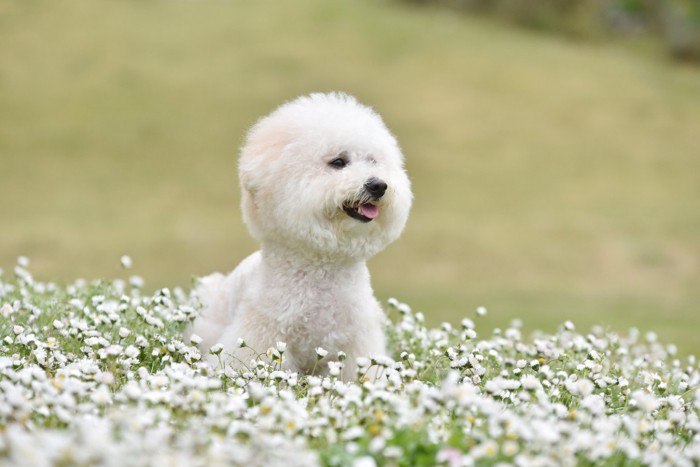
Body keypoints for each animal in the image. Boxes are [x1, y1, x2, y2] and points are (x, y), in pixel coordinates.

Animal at [189, 93, 412, 378]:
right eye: (338, 162)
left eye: (373, 161)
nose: (378, 185)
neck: (323, 268)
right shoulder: (263, 332)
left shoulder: (357, 341)